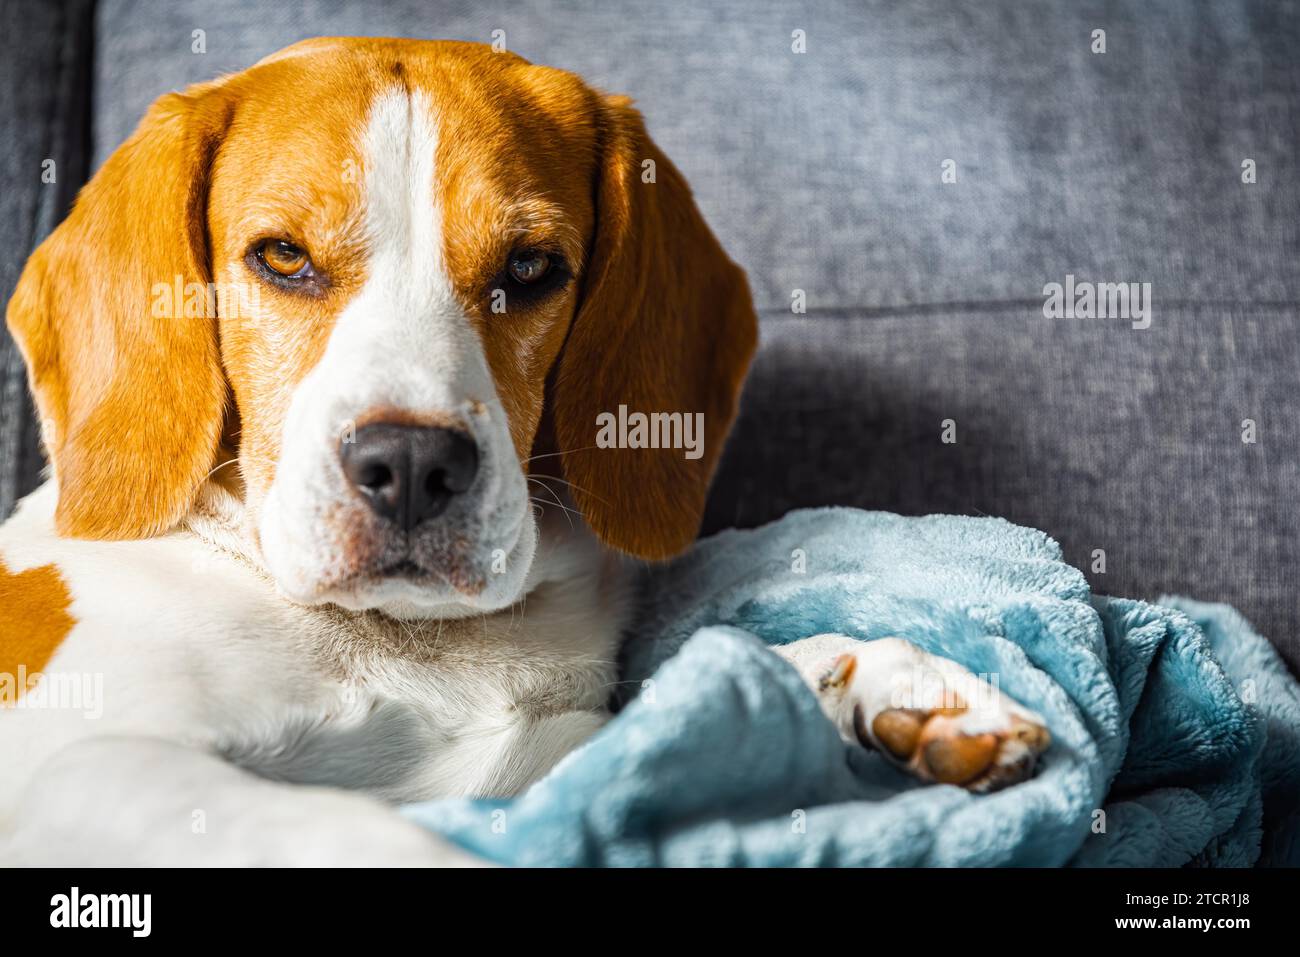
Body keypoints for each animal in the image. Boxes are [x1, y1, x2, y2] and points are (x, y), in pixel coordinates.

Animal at [0, 39, 1050, 868]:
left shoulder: (543, 766)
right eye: (283, 256)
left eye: (531, 268)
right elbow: (362, 835)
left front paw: (895, 679)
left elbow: (727, 674)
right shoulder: (95, 771)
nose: (410, 466)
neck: (409, 648)